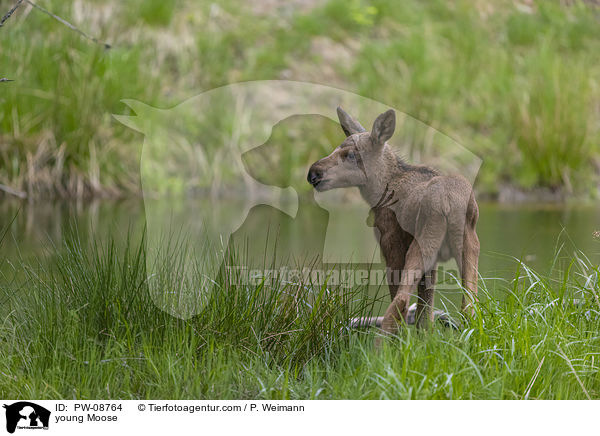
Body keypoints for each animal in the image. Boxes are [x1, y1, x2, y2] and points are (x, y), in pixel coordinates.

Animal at [308, 107, 480, 336]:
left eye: (351, 154)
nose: (313, 173)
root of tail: (449, 203)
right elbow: (425, 315)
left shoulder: (390, 245)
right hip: (470, 245)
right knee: (470, 304)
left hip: (420, 244)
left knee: (400, 302)